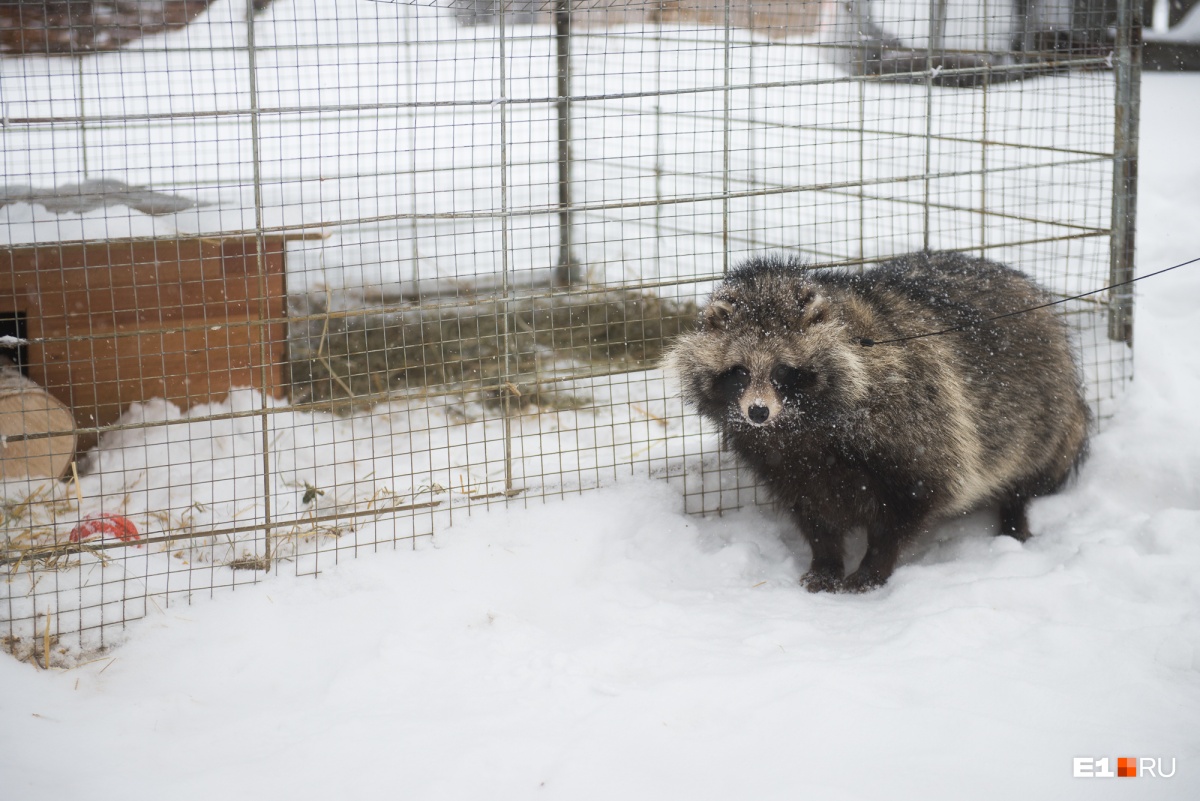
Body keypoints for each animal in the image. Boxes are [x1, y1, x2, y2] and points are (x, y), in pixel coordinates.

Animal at [667, 253, 1089, 592]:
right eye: (739, 371)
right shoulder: (785, 462)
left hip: (1040, 414)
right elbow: (814, 512)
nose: (757, 412)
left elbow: (913, 501)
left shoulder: (918, 420)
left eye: (783, 370)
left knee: (1024, 471)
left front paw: (872, 566)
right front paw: (826, 562)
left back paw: (1014, 518)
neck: (803, 427)